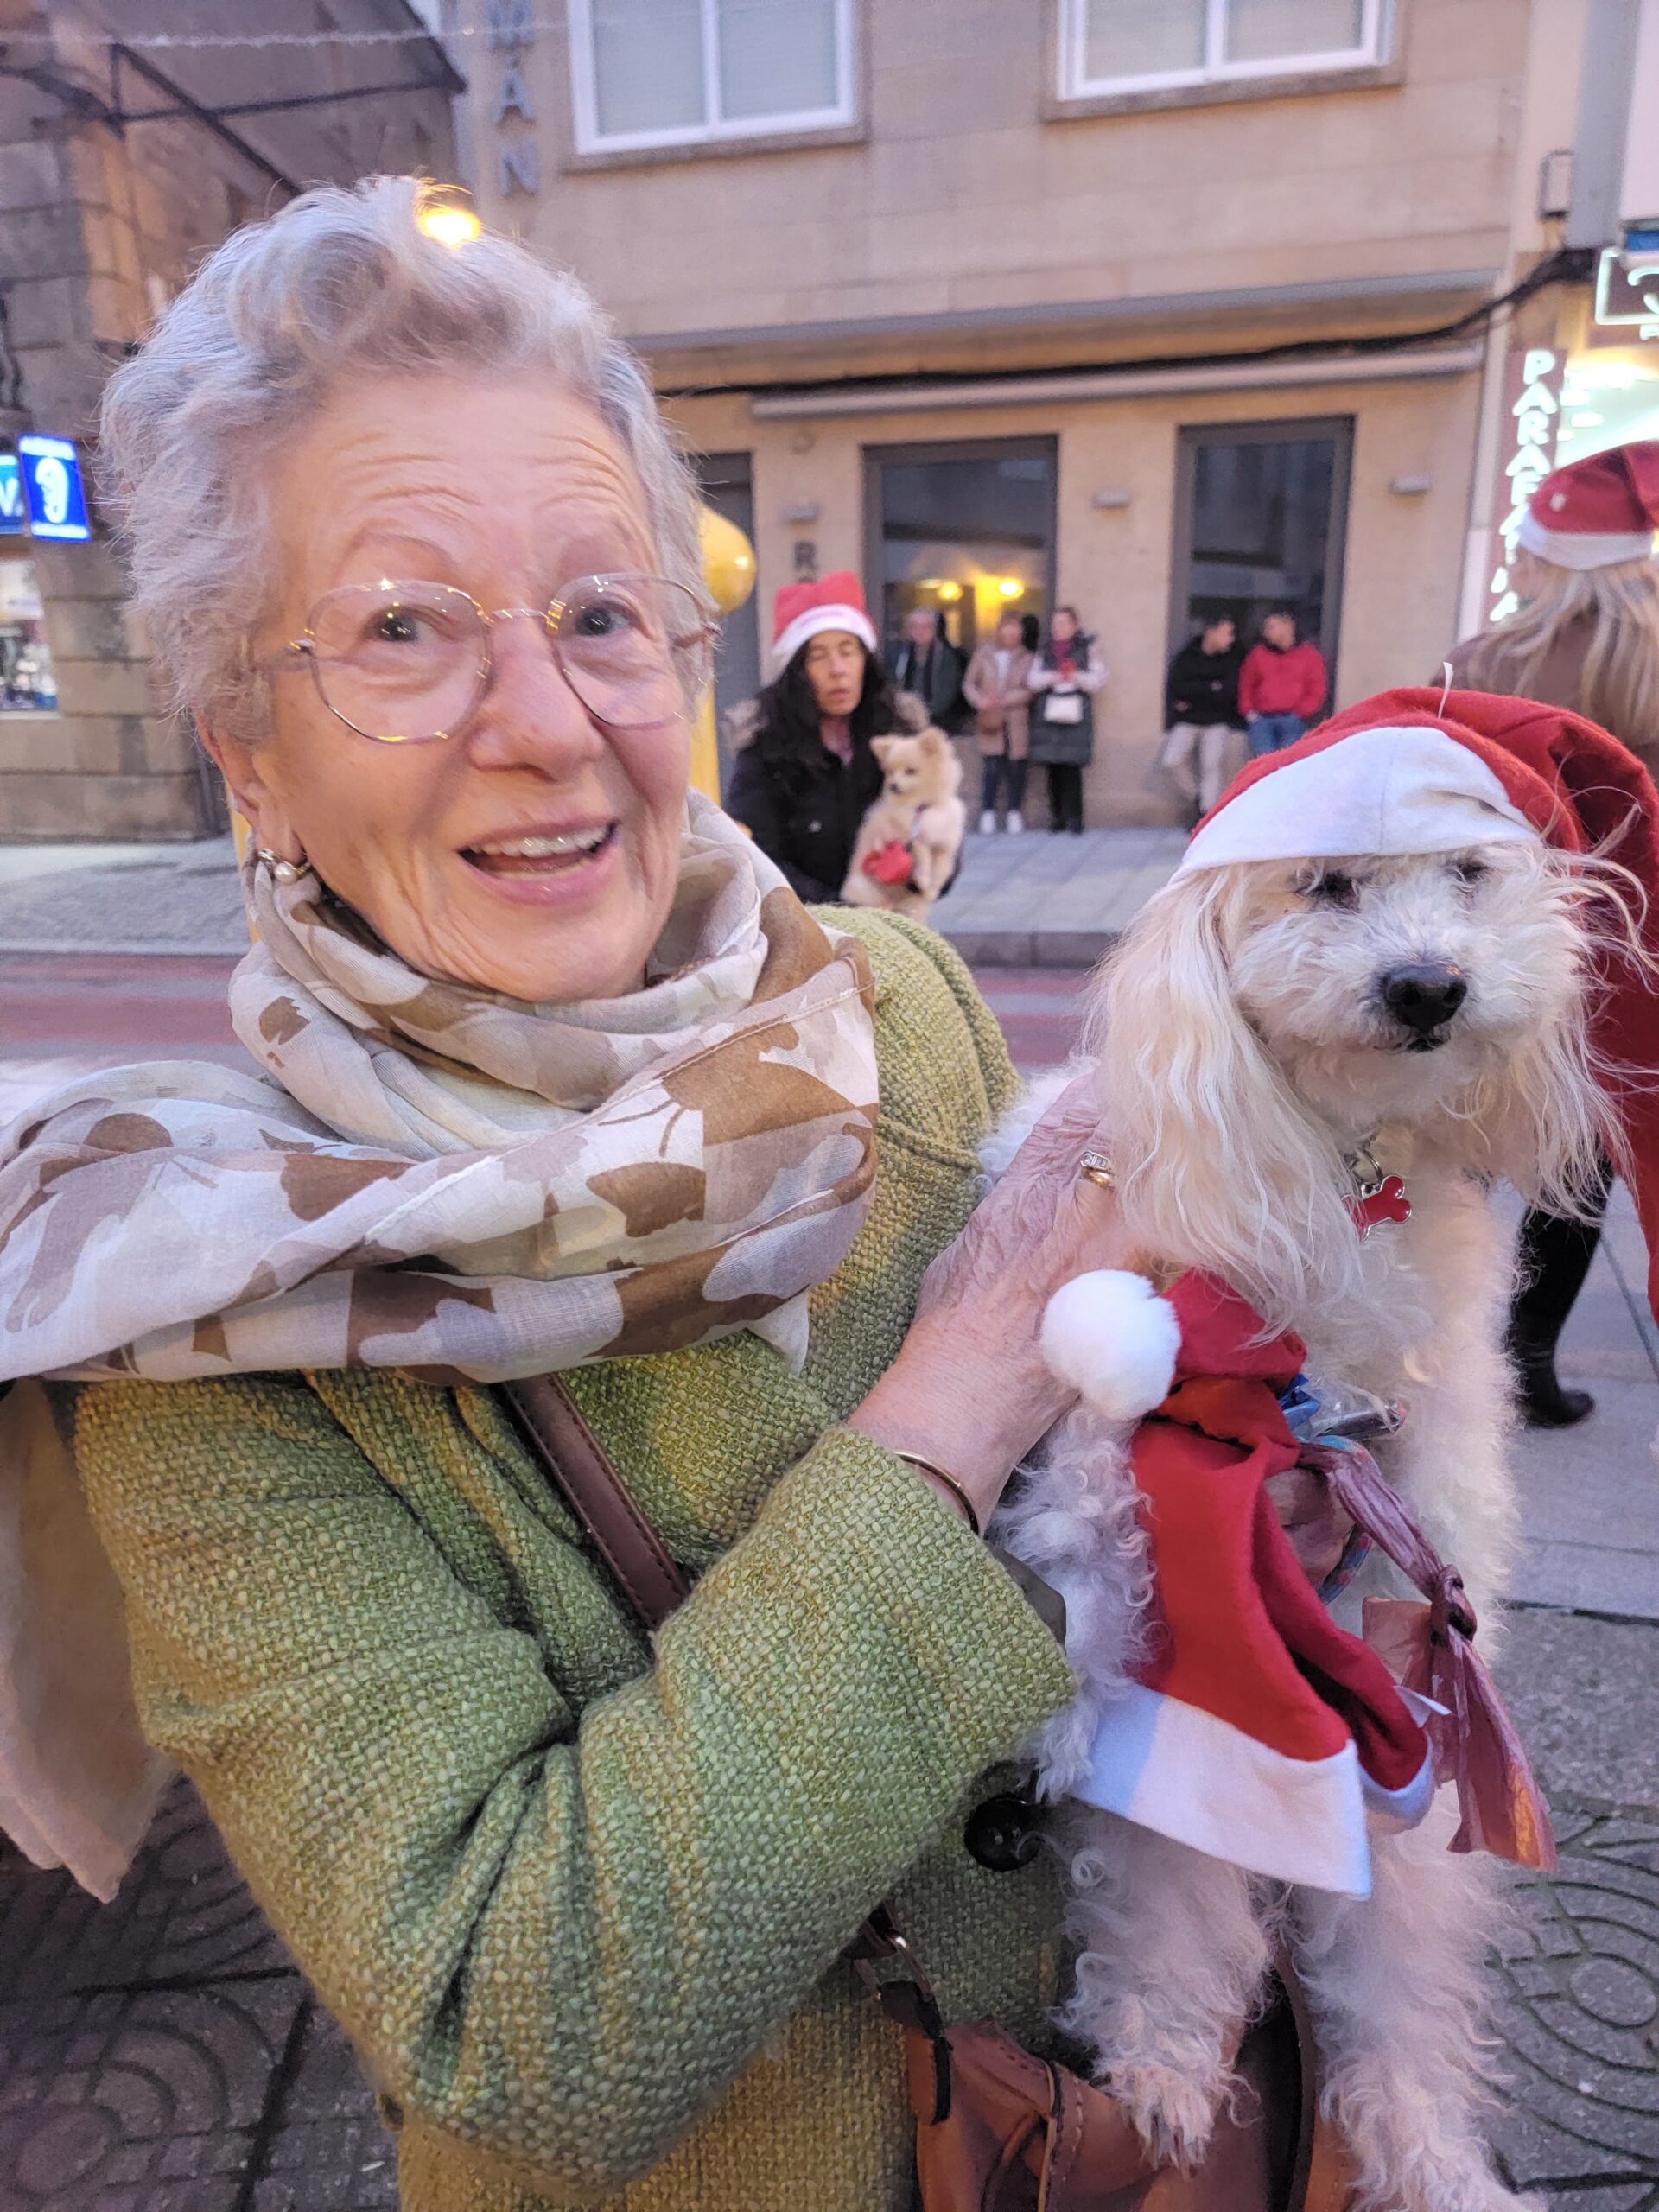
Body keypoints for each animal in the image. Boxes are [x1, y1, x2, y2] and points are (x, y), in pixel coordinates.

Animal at [841, 724, 966, 921]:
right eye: (891, 772)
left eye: (910, 771)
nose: (893, 785)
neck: (922, 807)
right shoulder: (908, 835)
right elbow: (922, 851)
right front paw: (923, 877)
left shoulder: (944, 845)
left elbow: (941, 867)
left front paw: (931, 888)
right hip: (863, 887)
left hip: (912, 906)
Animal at [990, 828, 1631, 2212]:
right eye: (1323, 883)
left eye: (1468, 872)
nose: (1428, 986)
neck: (1342, 1163)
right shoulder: (1164, 1531)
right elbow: (1161, 1842)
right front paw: (1163, 2059)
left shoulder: (1405, 1564)